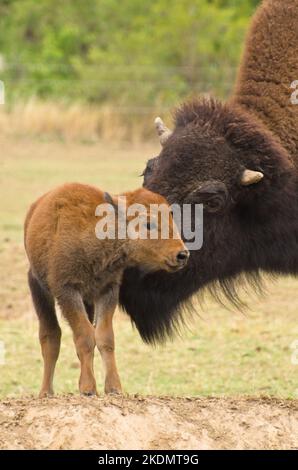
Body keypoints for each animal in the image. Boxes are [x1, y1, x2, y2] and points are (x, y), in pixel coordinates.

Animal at [24, 184, 187, 396]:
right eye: (148, 224)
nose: (182, 254)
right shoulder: (67, 291)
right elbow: (85, 336)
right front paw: (88, 388)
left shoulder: (107, 291)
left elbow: (104, 337)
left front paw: (113, 388)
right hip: (39, 287)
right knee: (51, 337)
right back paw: (46, 392)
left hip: (87, 301)